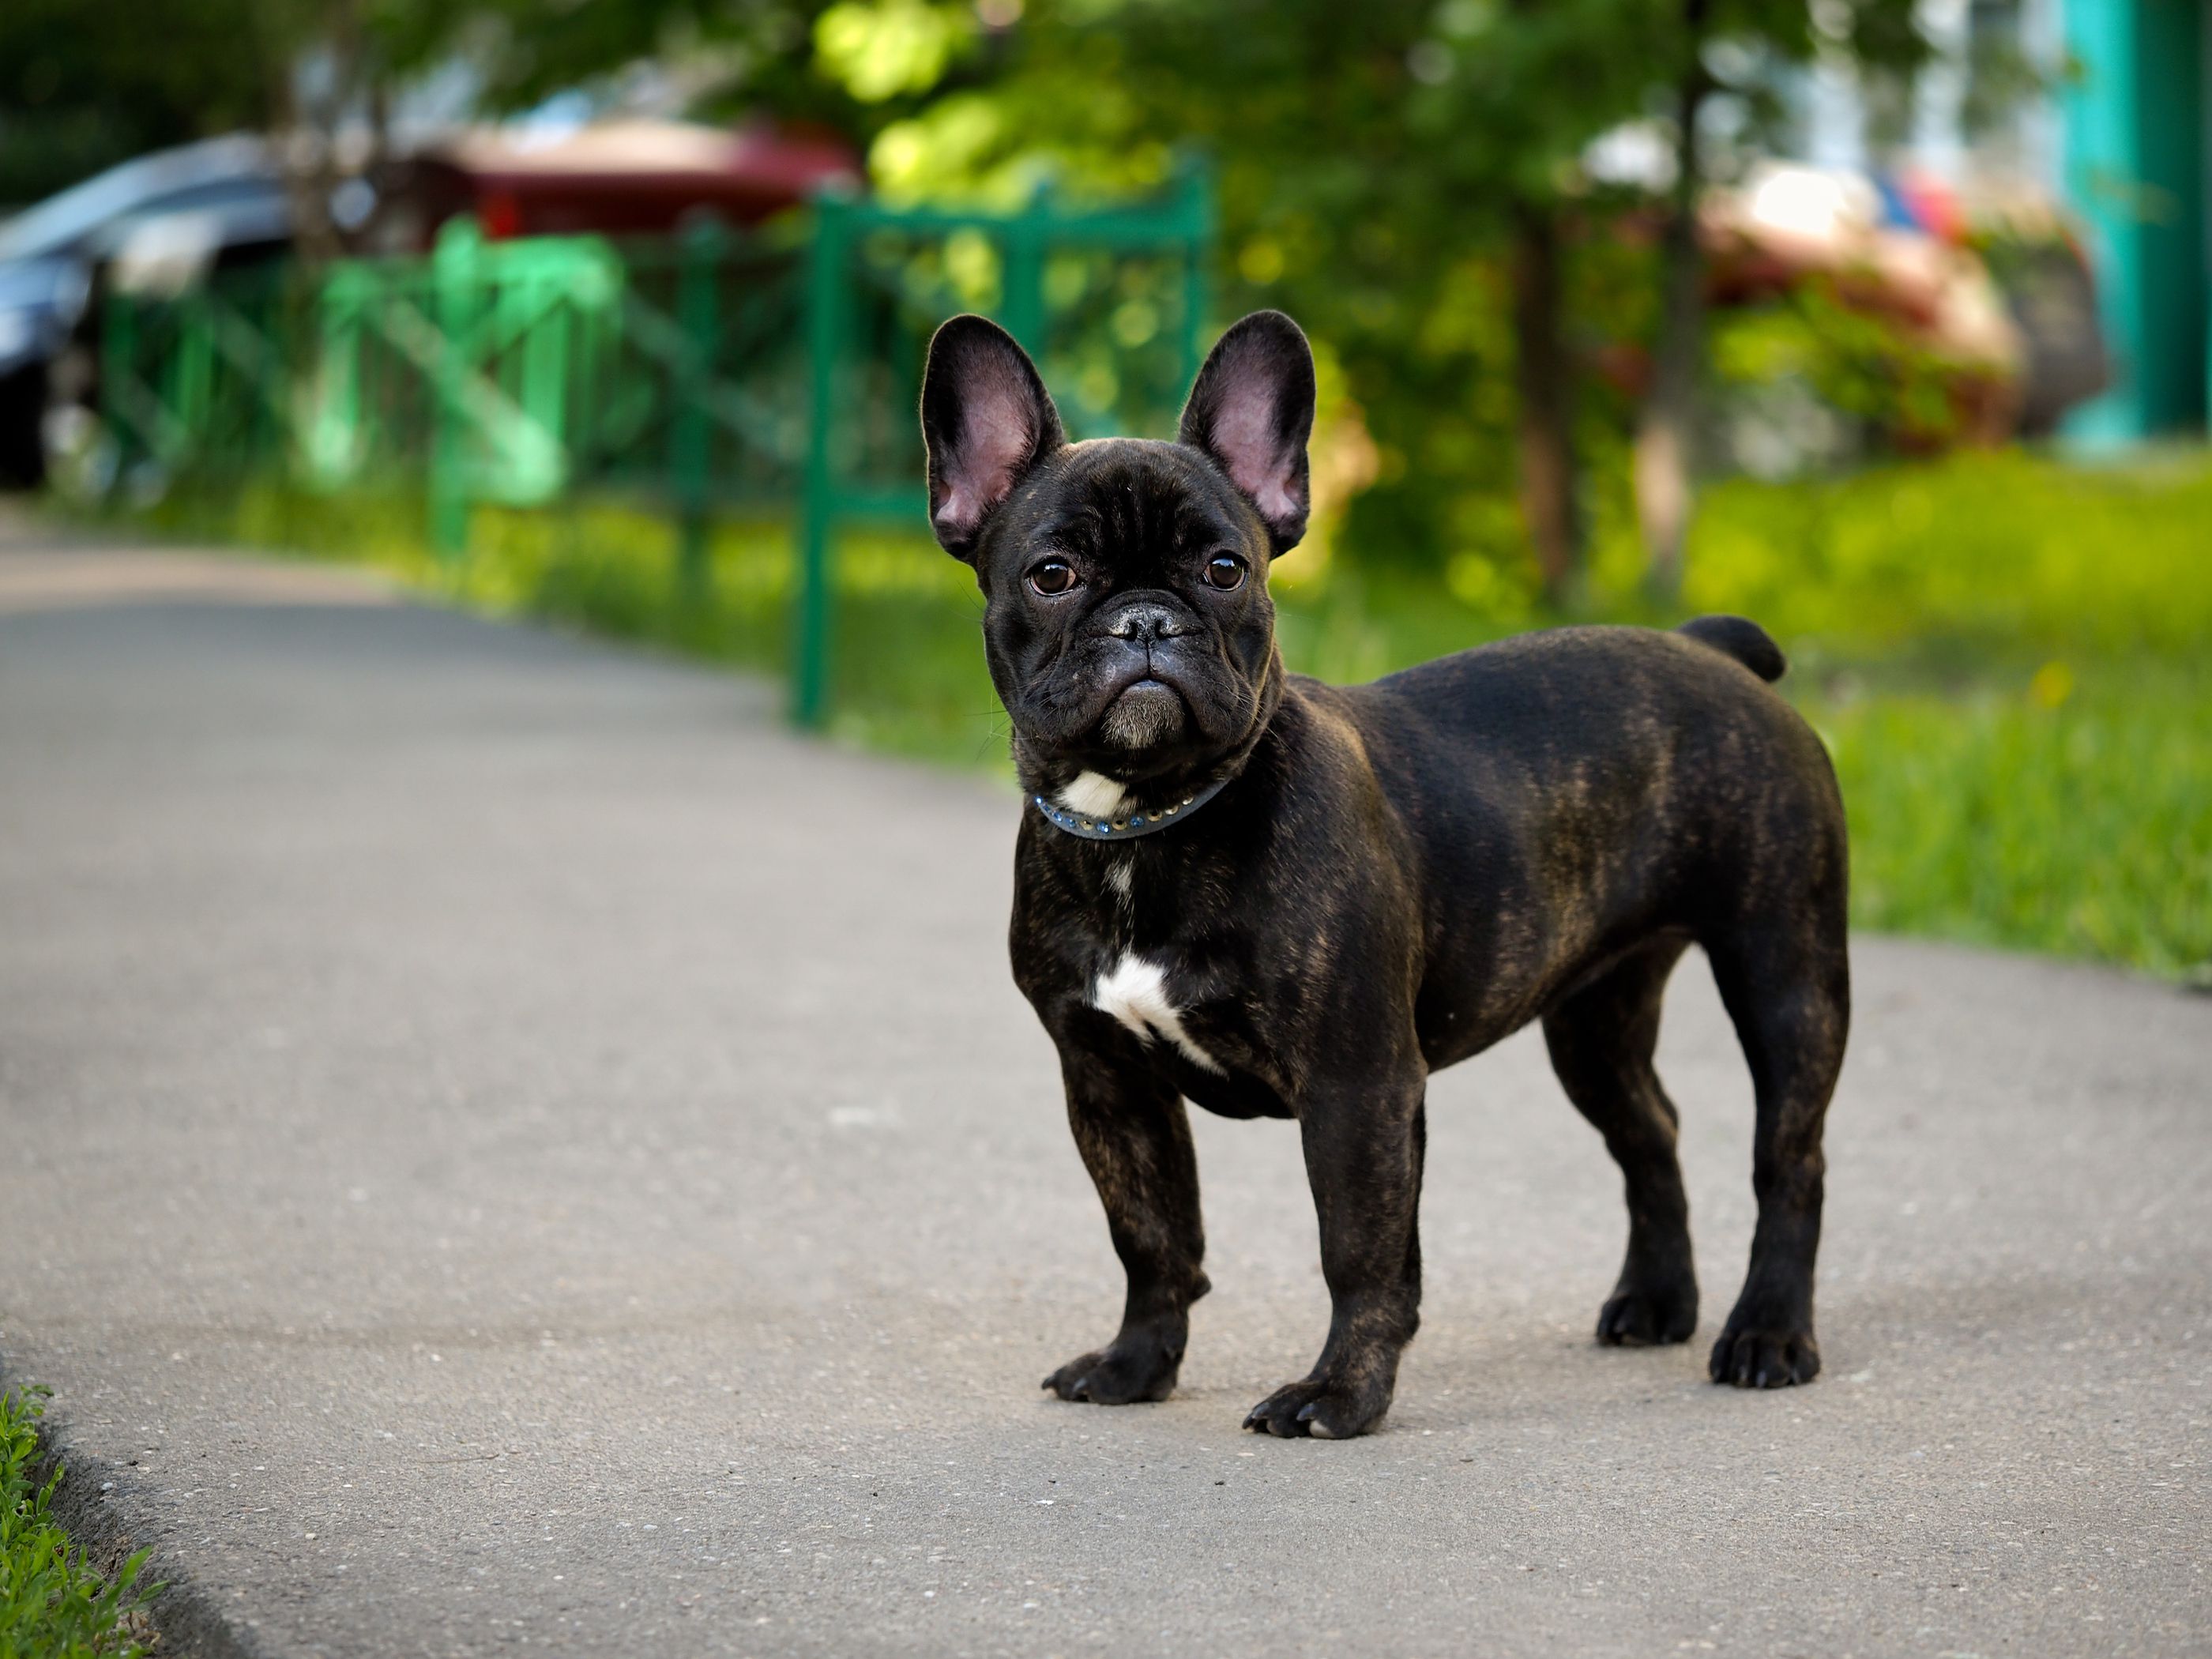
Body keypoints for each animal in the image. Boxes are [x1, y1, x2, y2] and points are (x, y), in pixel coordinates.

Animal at [916, 311, 1849, 1442]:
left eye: (1224, 569)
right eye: (1052, 575)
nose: (1145, 619)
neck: (1148, 820)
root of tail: (1711, 651)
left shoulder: (1357, 1085)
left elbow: (1358, 1250)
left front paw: (1339, 1393)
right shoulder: (1106, 1082)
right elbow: (1150, 1236)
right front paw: (1137, 1363)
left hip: (1785, 975)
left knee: (1788, 1159)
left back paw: (1768, 1335)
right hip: (1594, 1017)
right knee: (1649, 1131)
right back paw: (1656, 1300)